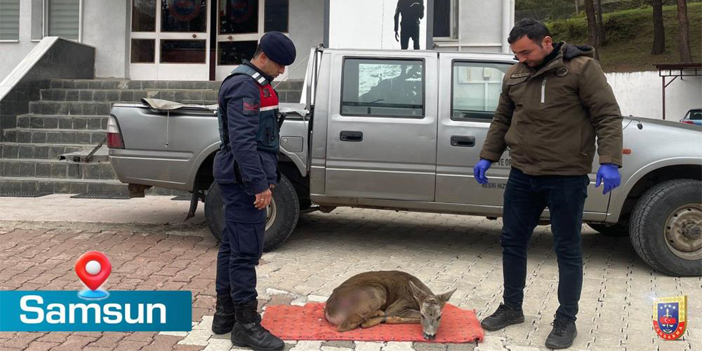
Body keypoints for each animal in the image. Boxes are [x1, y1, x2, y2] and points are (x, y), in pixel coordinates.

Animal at [324, 270, 456, 340]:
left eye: (439, 316)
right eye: (423, 315)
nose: (430, 335)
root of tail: (328, 311)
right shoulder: (399, 305)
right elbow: (414, 315)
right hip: (377, 291)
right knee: (348, 325)